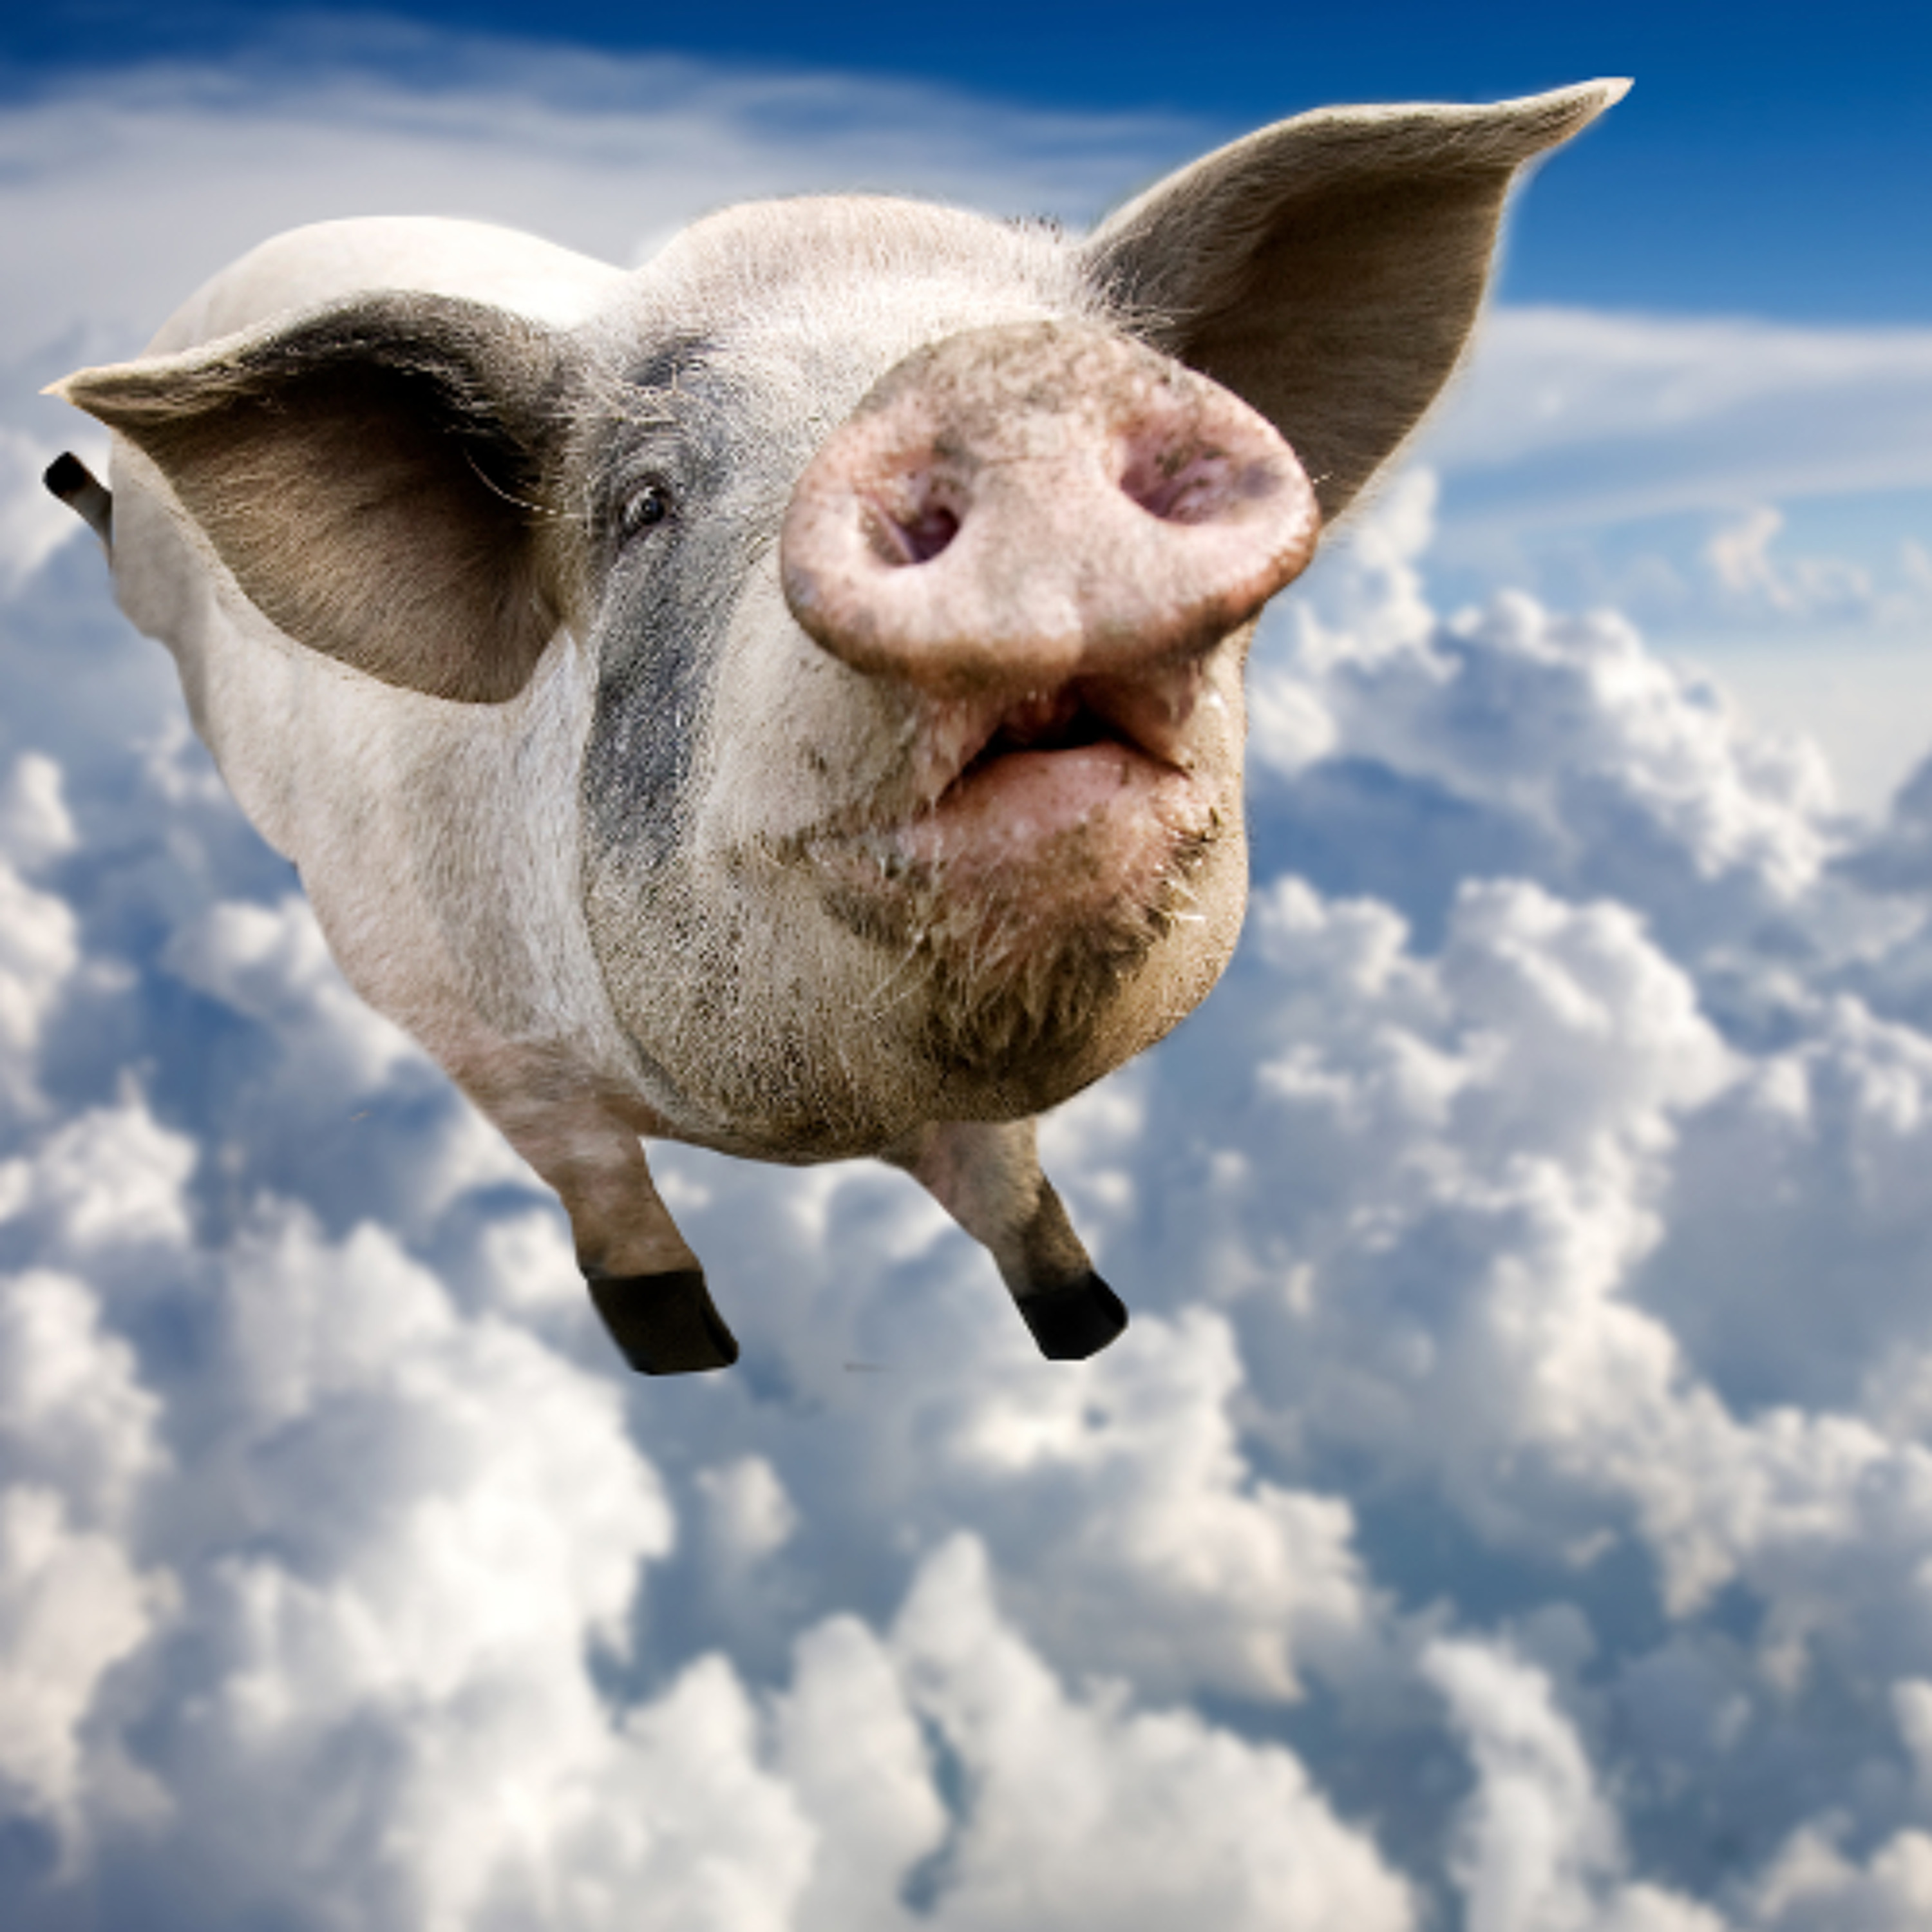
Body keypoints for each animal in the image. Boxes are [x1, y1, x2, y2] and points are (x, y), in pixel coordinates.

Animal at [47, 81, 1624, 1374]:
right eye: (644, 504)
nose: (997, 383)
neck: (804, 1128)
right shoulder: (450, 1012)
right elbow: (594, 1181)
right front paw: (689, 1355)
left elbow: (1007, 1177)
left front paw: (1091, 1321)